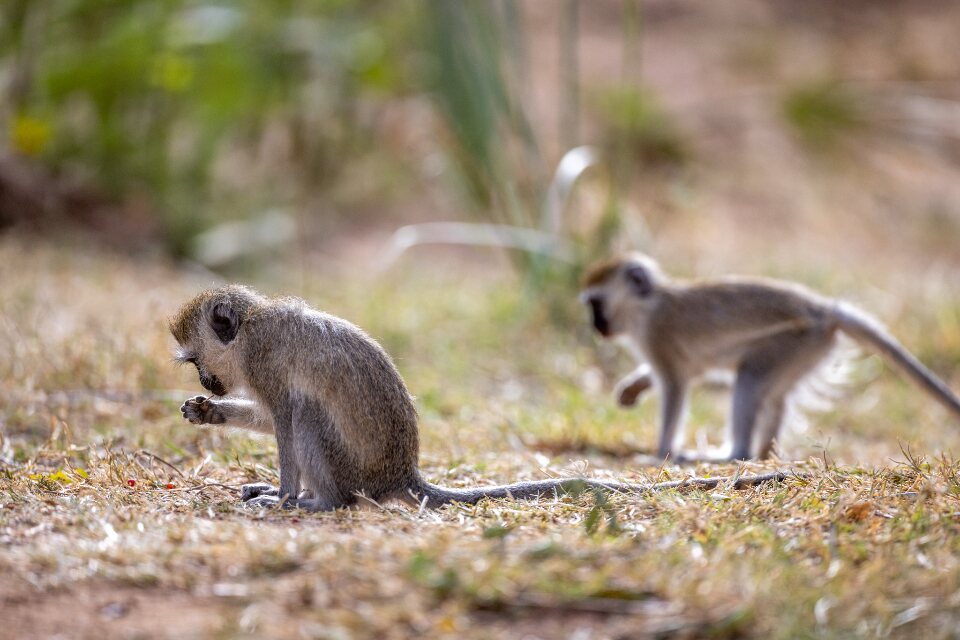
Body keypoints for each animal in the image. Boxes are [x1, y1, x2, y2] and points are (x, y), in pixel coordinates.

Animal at [169, 284, 792, 511]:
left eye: (198, 361)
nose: (206, 385)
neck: (252, 324)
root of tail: (402, 473)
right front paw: (210, 414)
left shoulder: (268, 364)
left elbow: (282, 421)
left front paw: (282, 495)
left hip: (350, 468)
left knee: (307, 419)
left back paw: (318, 502)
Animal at [580, 253, 960, 462]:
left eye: (596, 304)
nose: (596, 327)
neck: (647, 305)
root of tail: (824, 310)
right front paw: (632, 387)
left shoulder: (658, 336)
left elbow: (675, 387)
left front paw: (660, 454)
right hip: (807, 349)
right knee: (774, 396)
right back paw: (764, 456)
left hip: (795, 340)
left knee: (748, 382)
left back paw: (735, 455)